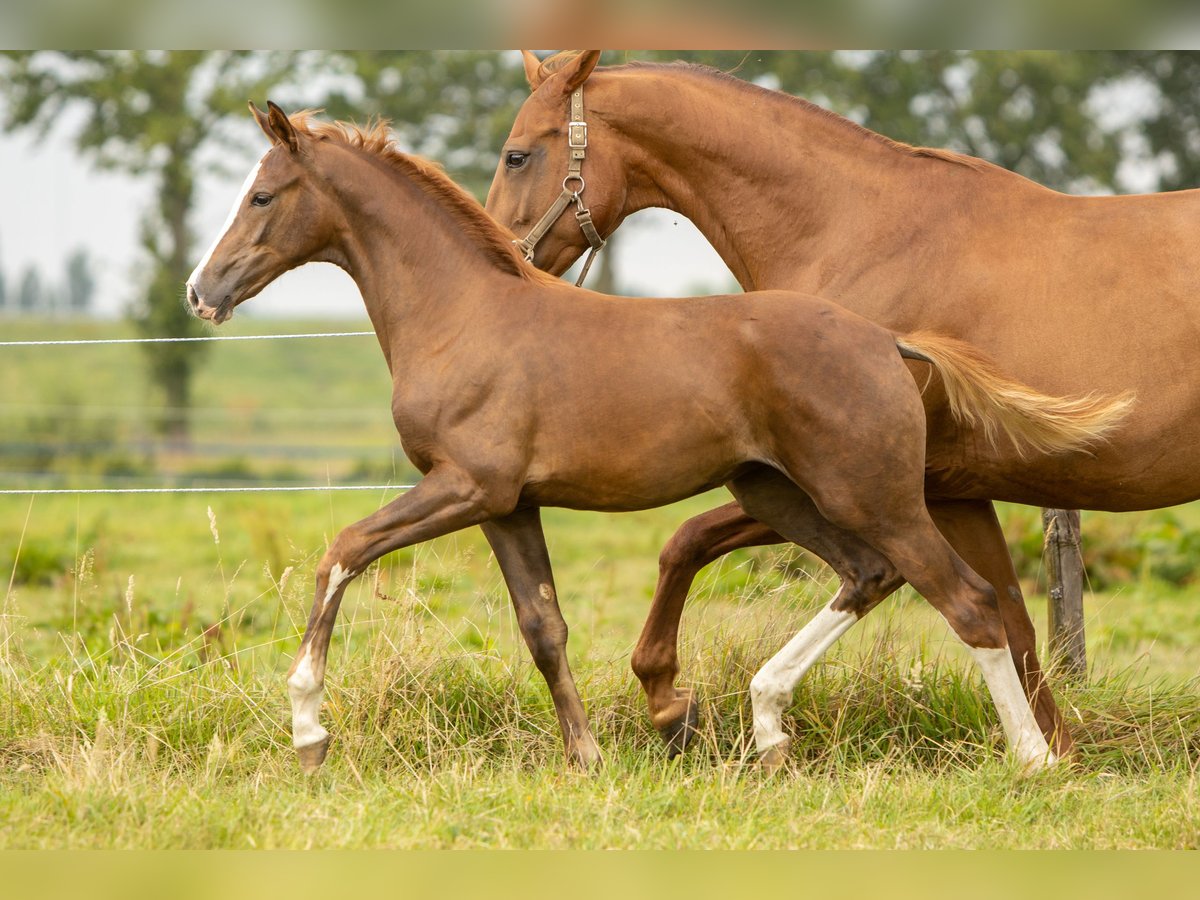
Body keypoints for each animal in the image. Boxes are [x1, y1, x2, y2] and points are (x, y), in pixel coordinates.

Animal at [482, 51, 1176, 763]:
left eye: (516, 155)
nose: (508, 258)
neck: (862, 233)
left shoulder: (868, 484)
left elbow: (690, 539)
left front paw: (669, 696)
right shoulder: (948, 491)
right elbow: (1012, 616)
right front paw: (1057, 753)